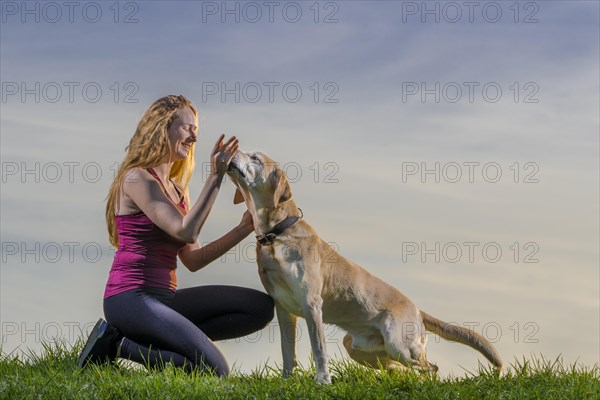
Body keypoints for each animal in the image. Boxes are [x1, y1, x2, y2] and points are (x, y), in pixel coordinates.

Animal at [227, 151, 504, 384]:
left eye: (255, 158)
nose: (232, 153)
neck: (278, 235)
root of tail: (417, 309)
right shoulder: (284, 309)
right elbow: (287, 352)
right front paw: (287, 380)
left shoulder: (311, 303)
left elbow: (319, 350)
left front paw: (322, 381)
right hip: (359, 348)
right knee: (402, 368)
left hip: (398, 345)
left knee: (429, 367)